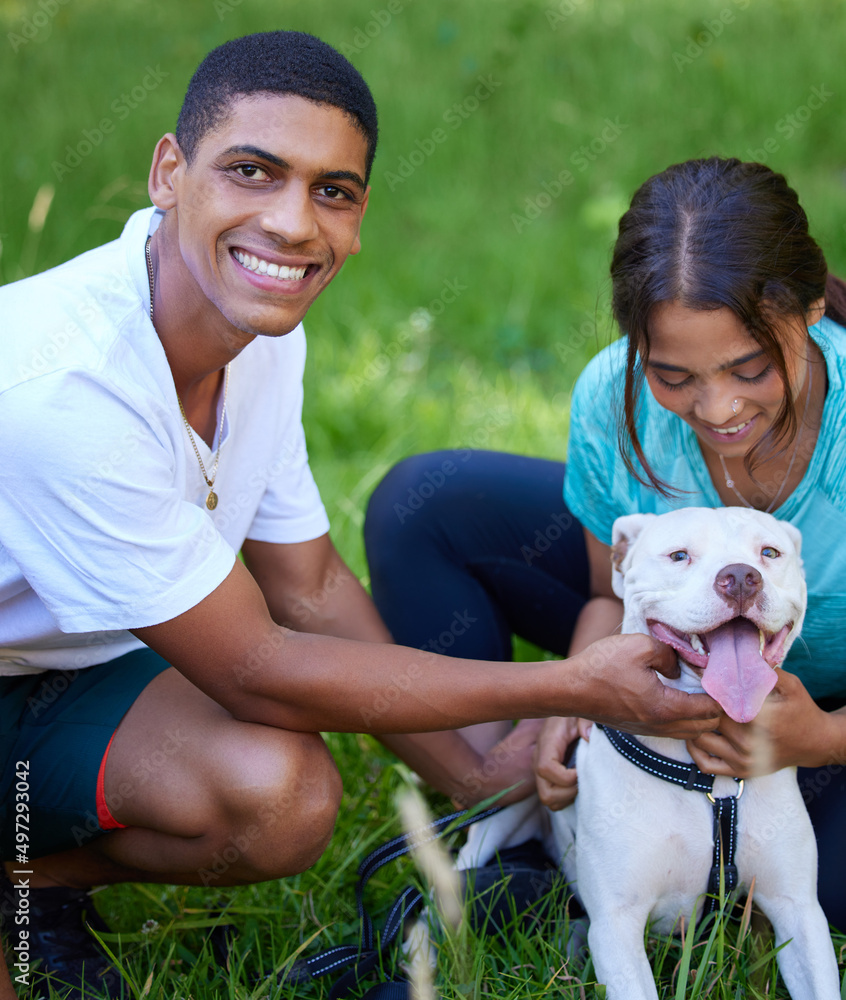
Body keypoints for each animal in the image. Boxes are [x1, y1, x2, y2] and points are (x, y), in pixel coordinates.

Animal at [458, 508, 840, 1000]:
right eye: (679, 555)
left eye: (769, 553)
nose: (740, 577)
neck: (706, 782)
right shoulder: (616, 925)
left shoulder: (799, 909)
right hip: (499, 814)